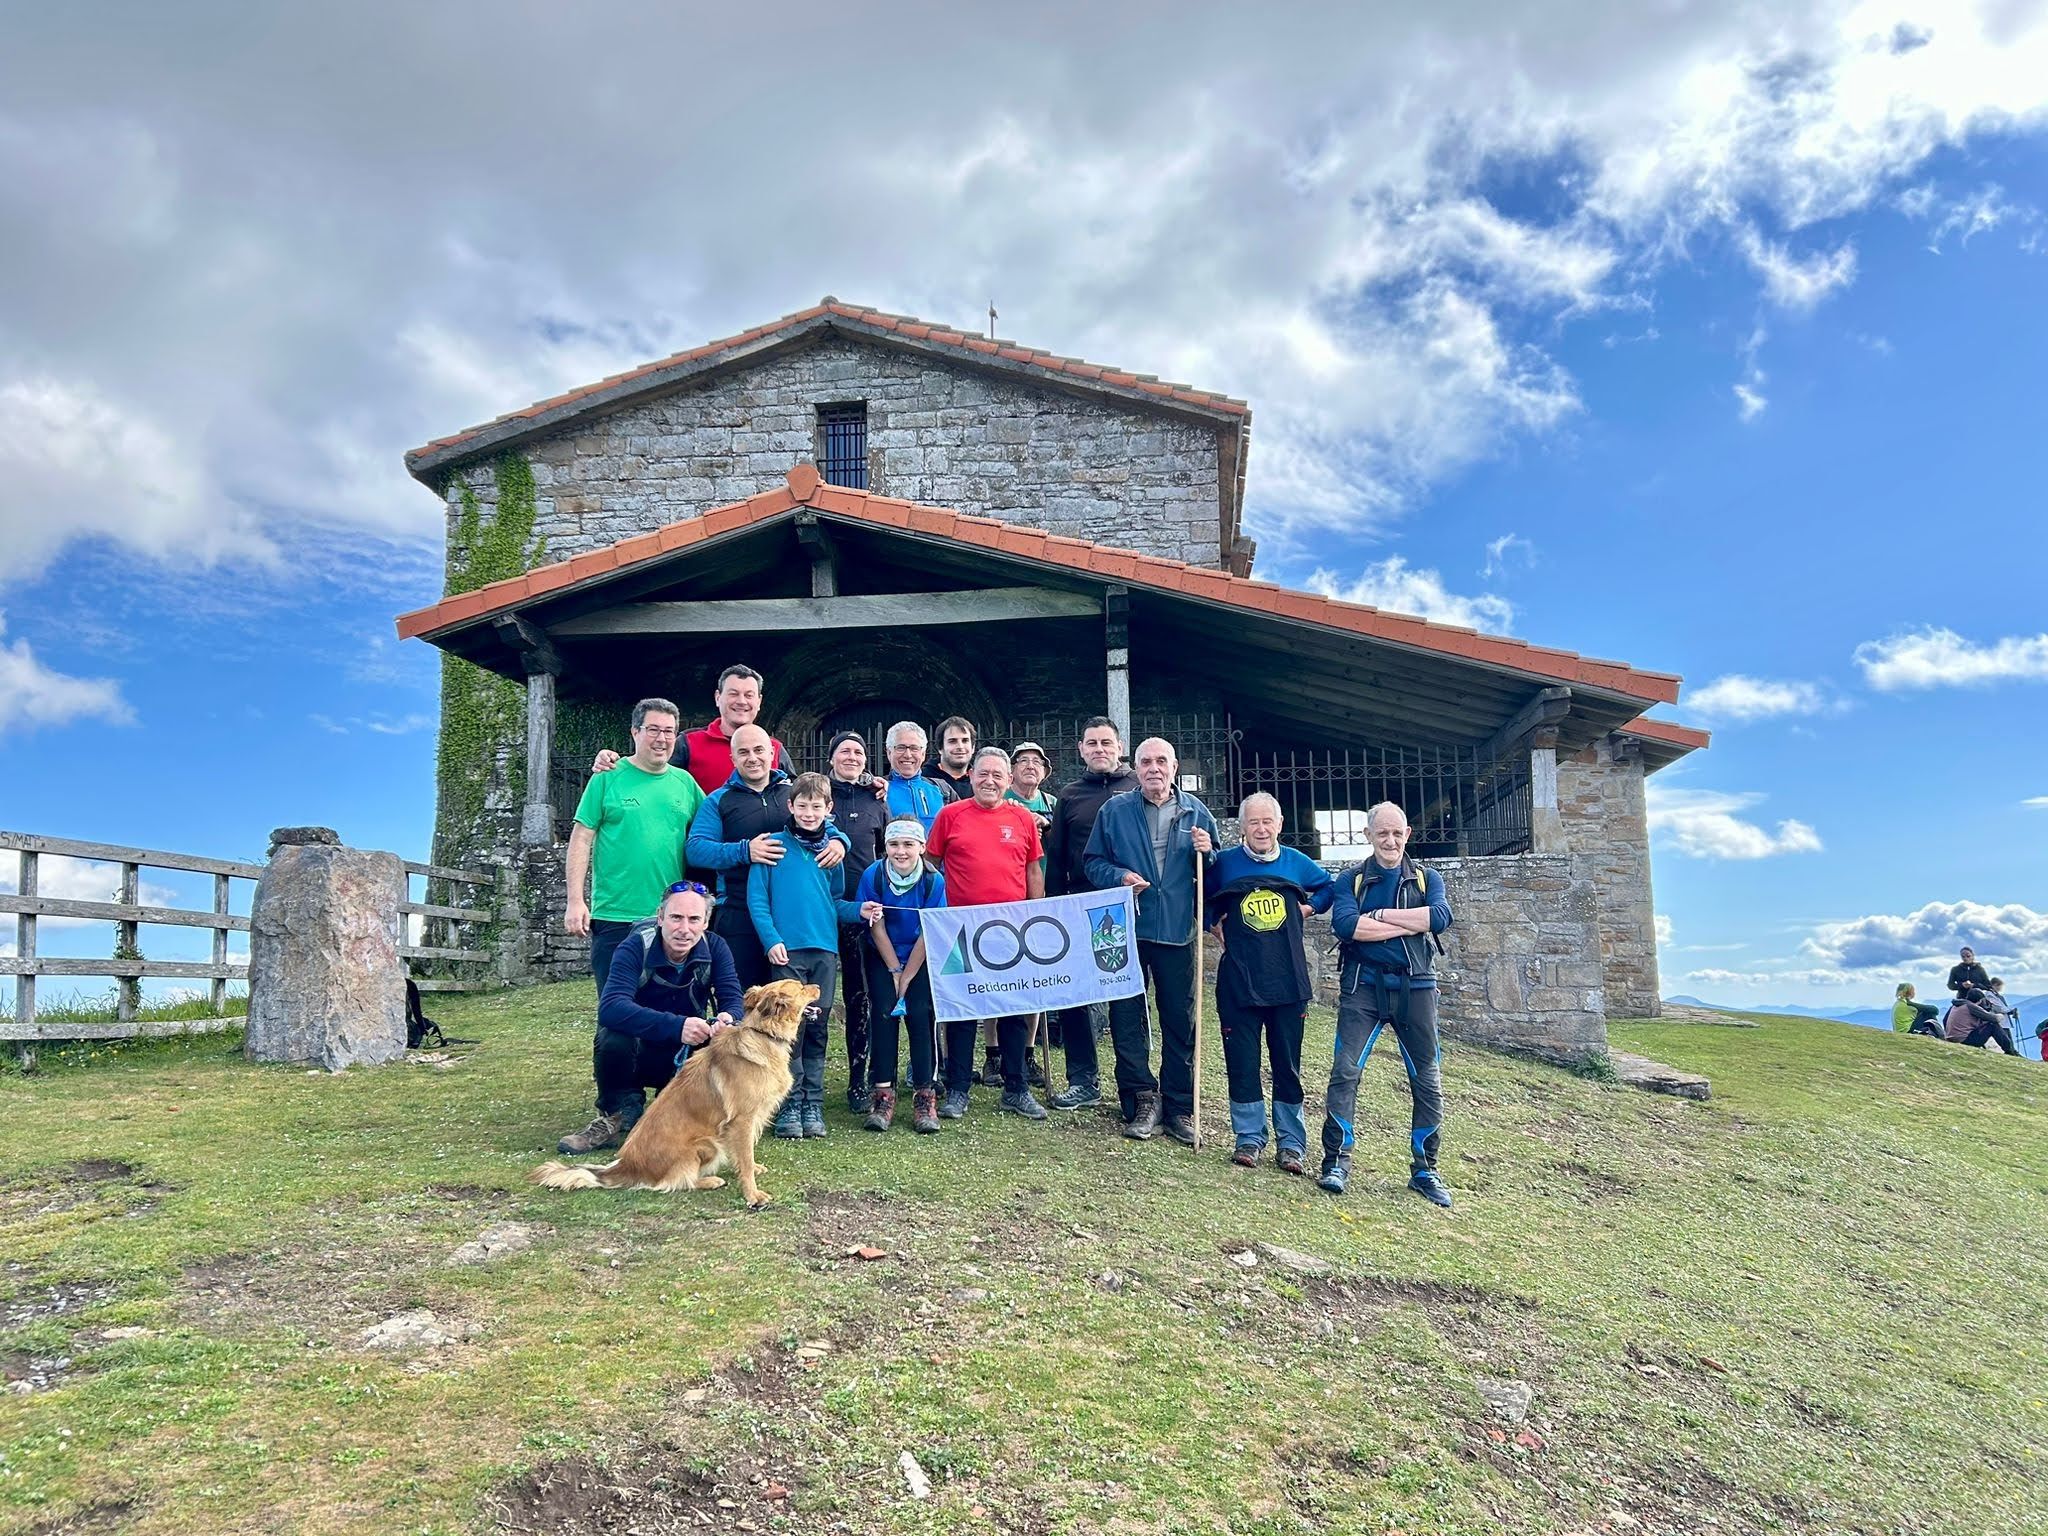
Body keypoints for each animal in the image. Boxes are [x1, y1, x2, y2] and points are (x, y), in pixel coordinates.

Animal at [528, 978, 815, 1212]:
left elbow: (746, 1154)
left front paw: (753, 1169)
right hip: (708, 1144)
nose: (818, 986)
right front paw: (752, 1194)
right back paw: (709, 1180)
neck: (763, 1035)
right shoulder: (741, 1121)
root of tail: (625, 1166)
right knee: (674, 1183)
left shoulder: (748, 1122)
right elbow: (744, 1156)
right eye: (801, 987)